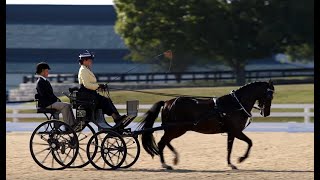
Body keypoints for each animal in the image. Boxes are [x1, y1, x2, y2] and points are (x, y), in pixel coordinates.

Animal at [138, 80, 276, 170]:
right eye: (270, 95)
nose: (266, 113)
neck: (234, 104)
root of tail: (167, 102)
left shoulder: (231, 132)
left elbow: (229, 148)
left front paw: (230, 163)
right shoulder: (236, 131)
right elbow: (250, 142)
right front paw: (241, 159)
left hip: (176, 129)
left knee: (165, 142)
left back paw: (174, 158)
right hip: (176, 129)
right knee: (162, 143)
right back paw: (165, 164)